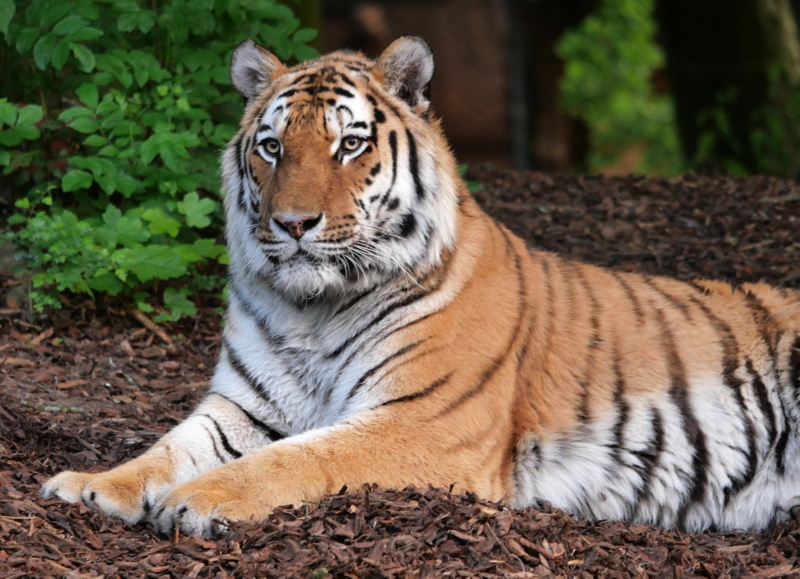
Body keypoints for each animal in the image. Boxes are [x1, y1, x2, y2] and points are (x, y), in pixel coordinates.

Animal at [42, 37, 800, 538]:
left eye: (348, 144)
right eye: (272, 147)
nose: (292, 224)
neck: (310, 311)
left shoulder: (421, 421)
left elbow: (297, 458)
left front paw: (198, 498)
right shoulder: (243, 408)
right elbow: (168, 446)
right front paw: (92, 487)